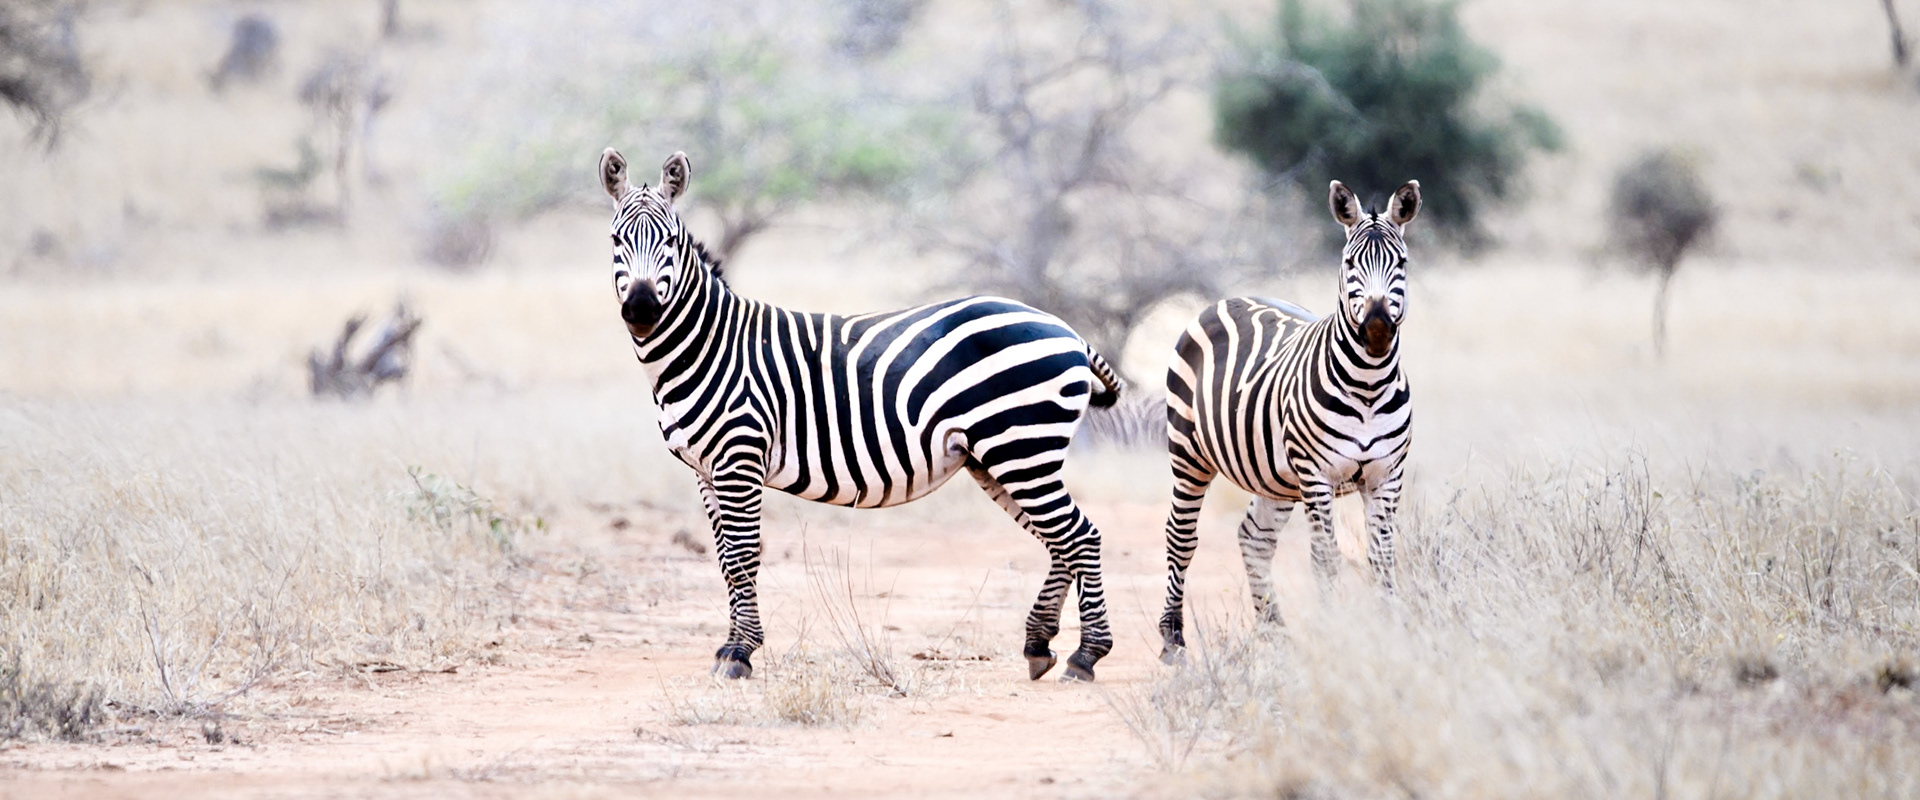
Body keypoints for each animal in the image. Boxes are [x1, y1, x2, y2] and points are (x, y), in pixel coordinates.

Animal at [598, 149, 1125, 682]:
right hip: (998, 458)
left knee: (1082, 536)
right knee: (1060, 541)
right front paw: (729, 647)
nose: (641, 309)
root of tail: (1064, 328)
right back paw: (1039, 644)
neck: (708, 346)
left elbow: (744, 556)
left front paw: (741, 652)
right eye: (616, 240)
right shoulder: (705, 470)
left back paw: (1086, 655)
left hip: (1021, 449)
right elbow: (727, 559)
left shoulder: (739, 458)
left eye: (669, 241)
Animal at [1156, 179, 1420, 662]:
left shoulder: (1387, 475)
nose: (1376, 328)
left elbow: (1383, 556)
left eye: (1402, 263)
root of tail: (1230, 298)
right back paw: (1172, 638)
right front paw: (1334, 633)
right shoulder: (1316, 475)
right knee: (1180, 538)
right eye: (1349, 264)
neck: (1369, 386)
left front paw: (1391, 629)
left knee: (1254, 537)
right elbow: (1326, 557)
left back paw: (1274, 632)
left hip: (1275, 479)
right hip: (1189, 455)